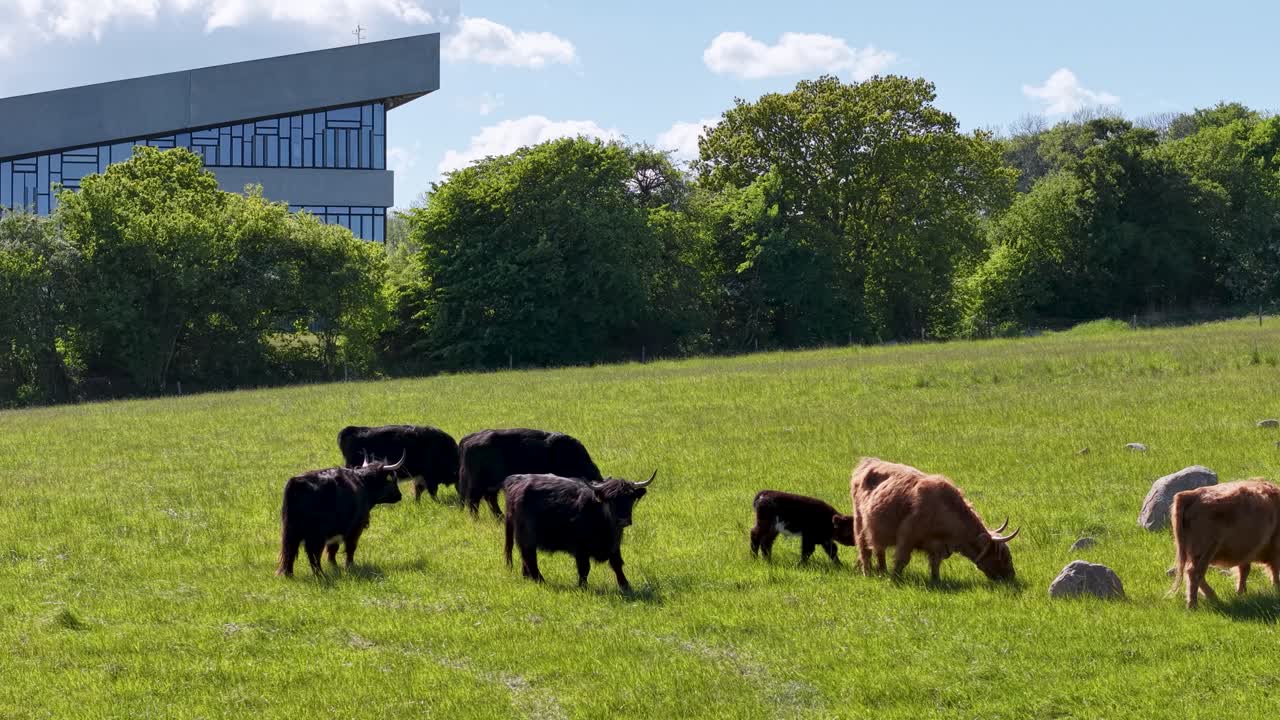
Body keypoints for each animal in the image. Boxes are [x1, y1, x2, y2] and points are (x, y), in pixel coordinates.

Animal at [276, 453, 406, 578]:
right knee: (313, 553)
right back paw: (320, 575)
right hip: (316, 534)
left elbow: (332, 549)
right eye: (391, 479)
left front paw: (334, 566)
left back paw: (289, 574)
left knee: (290, 551)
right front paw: (349, 565)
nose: (399, 495)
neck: (362, 483)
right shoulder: (355, 528)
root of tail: (296, 482)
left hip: (291, 531)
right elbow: (350, 547)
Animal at [457, 428, 603, 518]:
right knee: (474, 501)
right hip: (479, 484)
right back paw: (477, 519)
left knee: (489, 499)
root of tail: (468, 439)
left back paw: (500, 517)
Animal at [502, 471, 655, 591]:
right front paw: (583, 587)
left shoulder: (614, 546)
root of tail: (517, 480)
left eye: (630, 498)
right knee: (530, 558)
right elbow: (584, 568)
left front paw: (625, 586)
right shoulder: (580, 548)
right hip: (526, 536)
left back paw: (528, 578)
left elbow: (617, 564)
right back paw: (540, 581)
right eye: (611, 500)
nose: (623, 520)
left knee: (525, 558)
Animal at [850, 457, 1020, 583]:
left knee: (879, 550)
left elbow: (935, 563)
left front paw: (936, 580)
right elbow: (902, 560)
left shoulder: (937, 546)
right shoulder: (907, 537)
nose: (1011, 576)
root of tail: (867, 462)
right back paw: (868, 573)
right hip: (860, 523)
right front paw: (895, 579)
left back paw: (882, 571)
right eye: (1003, 555)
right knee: (865, 549)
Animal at [1169, 479, 1280, 609]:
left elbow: (1244, 570)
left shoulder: (1245, 551)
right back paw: (1194, 604)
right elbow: (1274, 570)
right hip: (1206, 549)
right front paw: (1276, 590)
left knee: (1194, 573)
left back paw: (1213, 598)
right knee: (1194, 572)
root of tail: (1191, 495)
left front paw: (1241, 593)